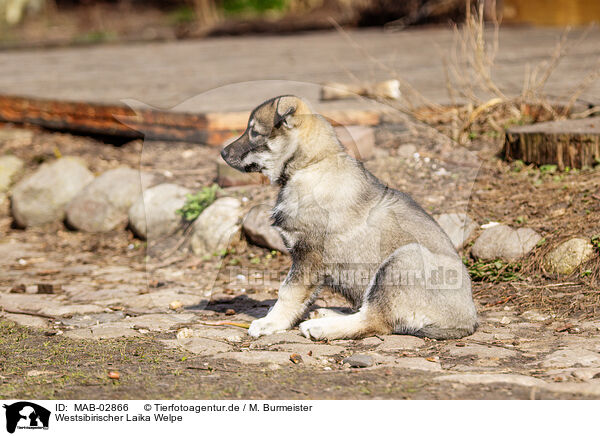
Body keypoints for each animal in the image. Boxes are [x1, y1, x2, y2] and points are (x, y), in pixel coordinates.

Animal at [220, 94, 478, 340]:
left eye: (254, 133)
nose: (222, 153)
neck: (312, 164)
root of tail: (468, 322)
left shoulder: (308, 255)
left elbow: (287, 292)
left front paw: (270, 323)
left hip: (404, 260)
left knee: (373, 320)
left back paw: (321, 328)